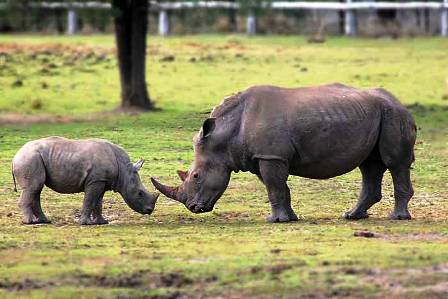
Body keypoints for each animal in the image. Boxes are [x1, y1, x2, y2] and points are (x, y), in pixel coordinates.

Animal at [11, 137, 159, 226]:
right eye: (140, 193)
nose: (150, 210)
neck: (124, 170)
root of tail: (15, 156)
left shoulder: (101, 181)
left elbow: (98, 202)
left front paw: (102, 222)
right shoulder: (95, 181)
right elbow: (89, 200)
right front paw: (85, 223)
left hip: (32, 158)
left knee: (36, 189)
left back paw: (44, 221)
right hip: (30, 159)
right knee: (33, 188)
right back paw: (30, 222)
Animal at [151, 84, 416, 223]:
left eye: (196, 176)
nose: (193, 208)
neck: (226, 135)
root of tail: (400, 103)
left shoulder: (271, 156)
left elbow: (274, 187)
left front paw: (275, 221)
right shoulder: (263, 157)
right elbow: (279, 188)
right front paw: (290, 218)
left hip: (393, 116)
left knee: (395, 163)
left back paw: (397, 218)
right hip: (377, 115)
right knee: (370, 165)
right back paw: (351, 216)